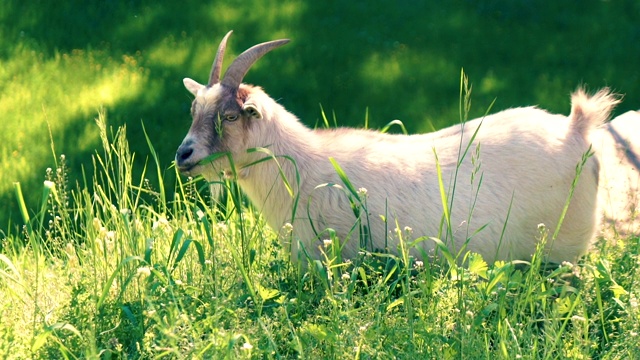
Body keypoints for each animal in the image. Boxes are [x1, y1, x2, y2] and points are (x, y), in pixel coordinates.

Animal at [175, 31, 620, 264]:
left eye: (230, 116)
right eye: (195, 110)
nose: (184, 155)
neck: (304, 165)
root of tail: (576, 130)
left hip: (561, 255)